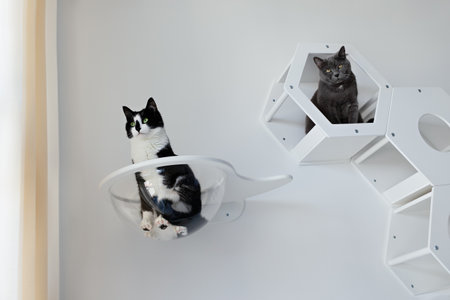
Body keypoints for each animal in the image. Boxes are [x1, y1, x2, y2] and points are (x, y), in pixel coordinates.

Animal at [121, 98, 202, 239]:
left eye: (145, 120)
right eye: (132, 123)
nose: (137, 127)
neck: (145, 147)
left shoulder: (165, 175)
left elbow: (160, 196)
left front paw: (161, 219)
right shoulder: (139, 178)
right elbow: (144, 201)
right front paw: (146, 222)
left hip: (187, 182)